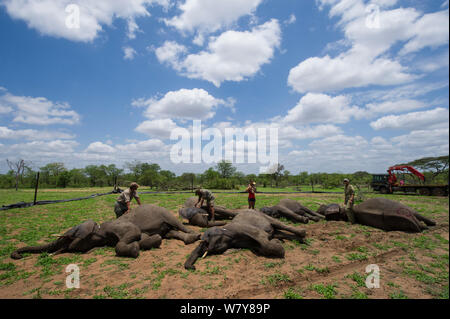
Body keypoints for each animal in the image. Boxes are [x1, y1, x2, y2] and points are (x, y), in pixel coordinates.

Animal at [11, 205, 200, 260]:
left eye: (67, 238)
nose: (18, 255)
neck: (99, 228)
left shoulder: (119, 227)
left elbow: (132, 233)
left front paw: (134, 250)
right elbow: (143, 237)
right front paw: (153, 241)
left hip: (166, 214)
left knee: (177, 225)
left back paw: (195, 236)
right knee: (171, 233)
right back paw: (189, 239)